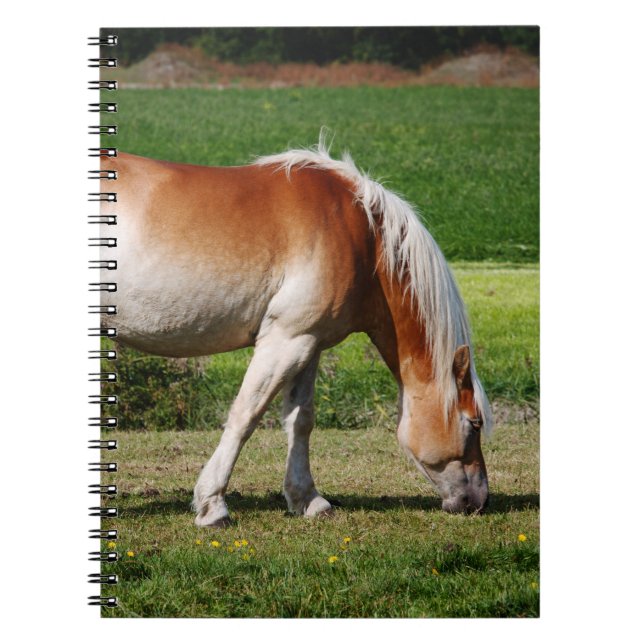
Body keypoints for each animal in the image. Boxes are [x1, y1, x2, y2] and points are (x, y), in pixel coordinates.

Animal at [99, 136, 493, 527]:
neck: (363, 234)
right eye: (474, 424)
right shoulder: (285, 341)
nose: (478, 501)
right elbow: (245, 416)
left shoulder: (309, 344)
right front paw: (212, 505)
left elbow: (300, 420)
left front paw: (308, 500)